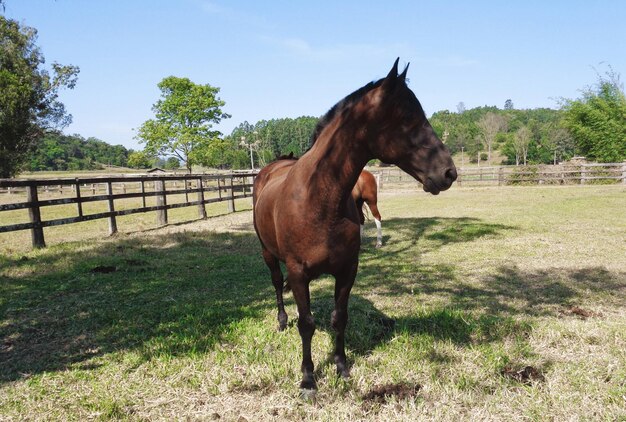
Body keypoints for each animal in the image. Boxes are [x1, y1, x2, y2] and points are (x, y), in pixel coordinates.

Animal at [251, 58, 456, 392]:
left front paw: (341, 366)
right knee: (276, 283)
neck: (320, 200)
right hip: (268, 253)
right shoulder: (297, 273)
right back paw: (281, 321)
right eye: (408, 119)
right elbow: (306, 323)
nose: (449, 172)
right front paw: (308, 379)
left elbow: (339, 318)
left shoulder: (347, 270)